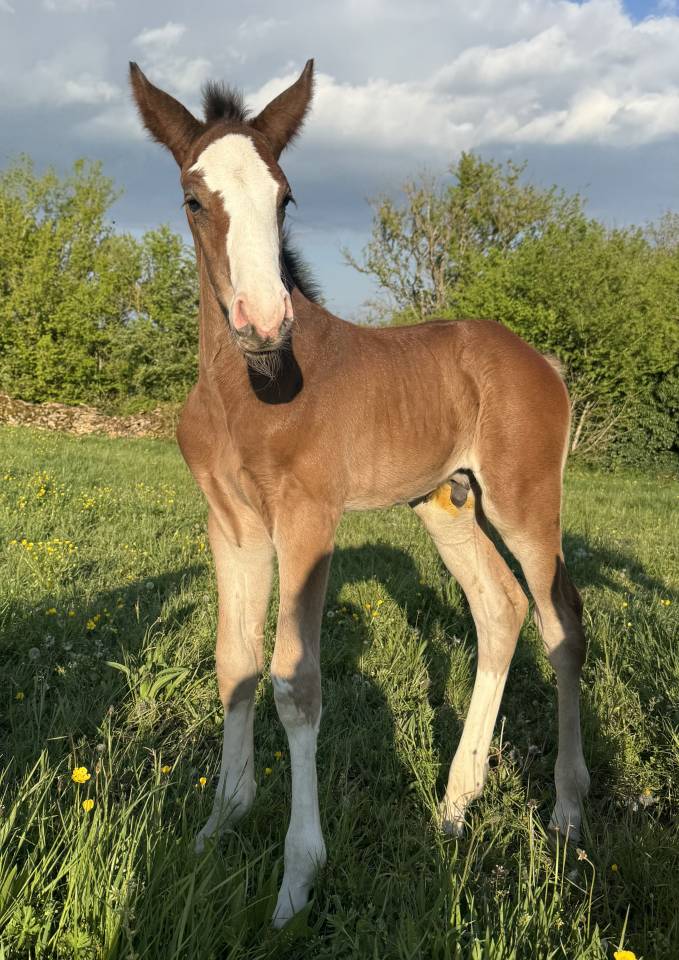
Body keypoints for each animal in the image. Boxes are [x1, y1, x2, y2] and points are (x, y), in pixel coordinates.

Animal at [130, 58, 590, 927]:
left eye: (284, 197)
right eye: (193, 199)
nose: (262, 320)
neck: (246, 386)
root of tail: (540, 360)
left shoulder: (307, 518)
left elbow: (296, 683)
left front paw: (295, 880)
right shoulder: (229, 523)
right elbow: (234, 661)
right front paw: (218, 826)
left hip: (524, 501)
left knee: (560, 622)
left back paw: (568, 810)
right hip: (446, 501)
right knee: (499, 610)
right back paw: (454, 803)